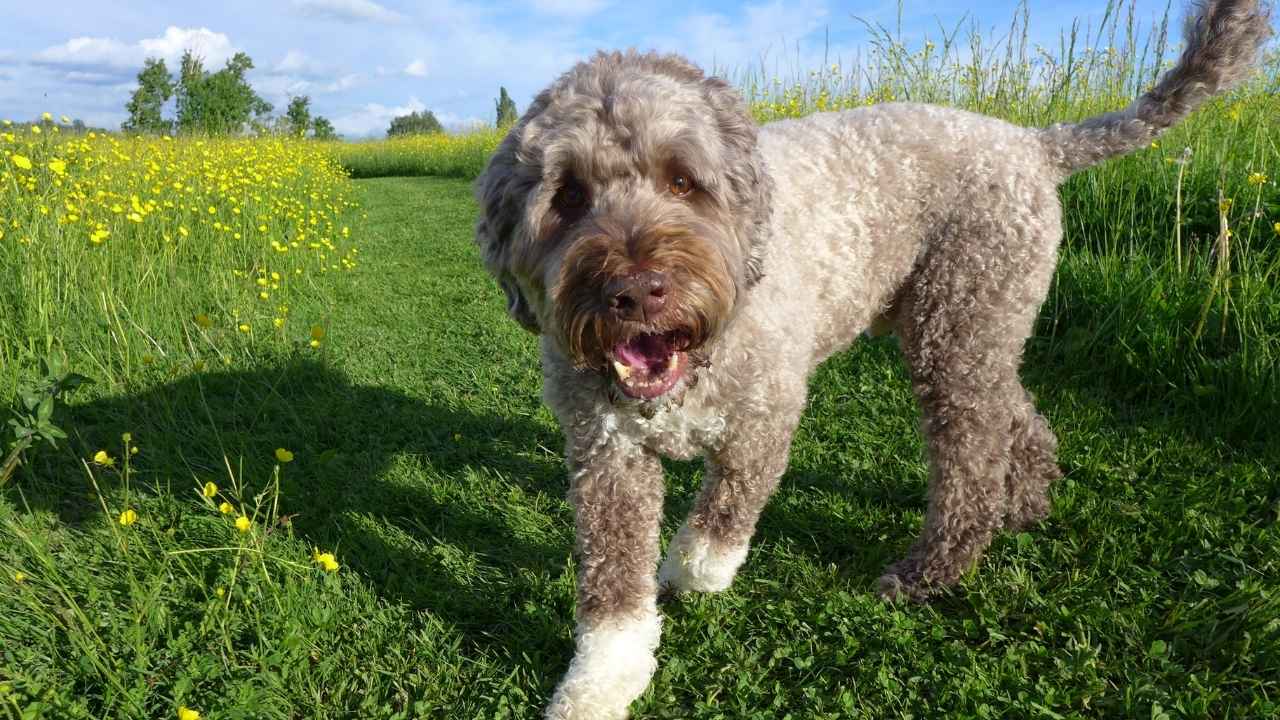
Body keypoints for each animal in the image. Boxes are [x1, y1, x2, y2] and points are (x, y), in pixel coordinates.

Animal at [476, 2, 1274, 712]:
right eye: (567, 195)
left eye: (683, 179)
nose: (638, 291)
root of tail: (1034, 143)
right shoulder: (606, 456)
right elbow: (611, 591)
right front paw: (598, 685)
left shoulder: (767, 414)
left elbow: (721, 519)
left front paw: (690, 570)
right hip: (969, 326)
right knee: (1015, 413)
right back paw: (1026, 502)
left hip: (957, 324)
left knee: (971, 457)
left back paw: (934, 569)